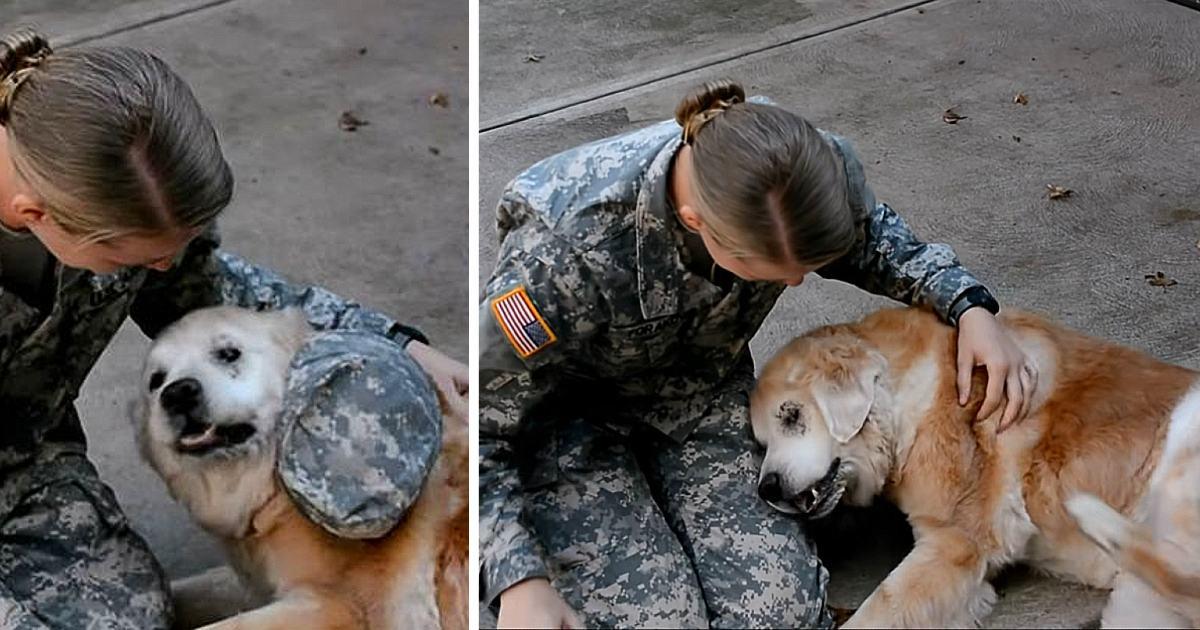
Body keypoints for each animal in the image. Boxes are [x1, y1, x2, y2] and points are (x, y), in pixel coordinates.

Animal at [131, 306, 465, 628]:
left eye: (228, 353)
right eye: (156, 380)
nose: (177, 393)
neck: (274, 491)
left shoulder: (338, 604)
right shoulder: (254, 583)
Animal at [753, 304, 1195, 624]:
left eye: (791, 415)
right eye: (761, 443)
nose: (766, 488)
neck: (906, 395)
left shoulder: (954, 543)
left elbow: (877, 611)